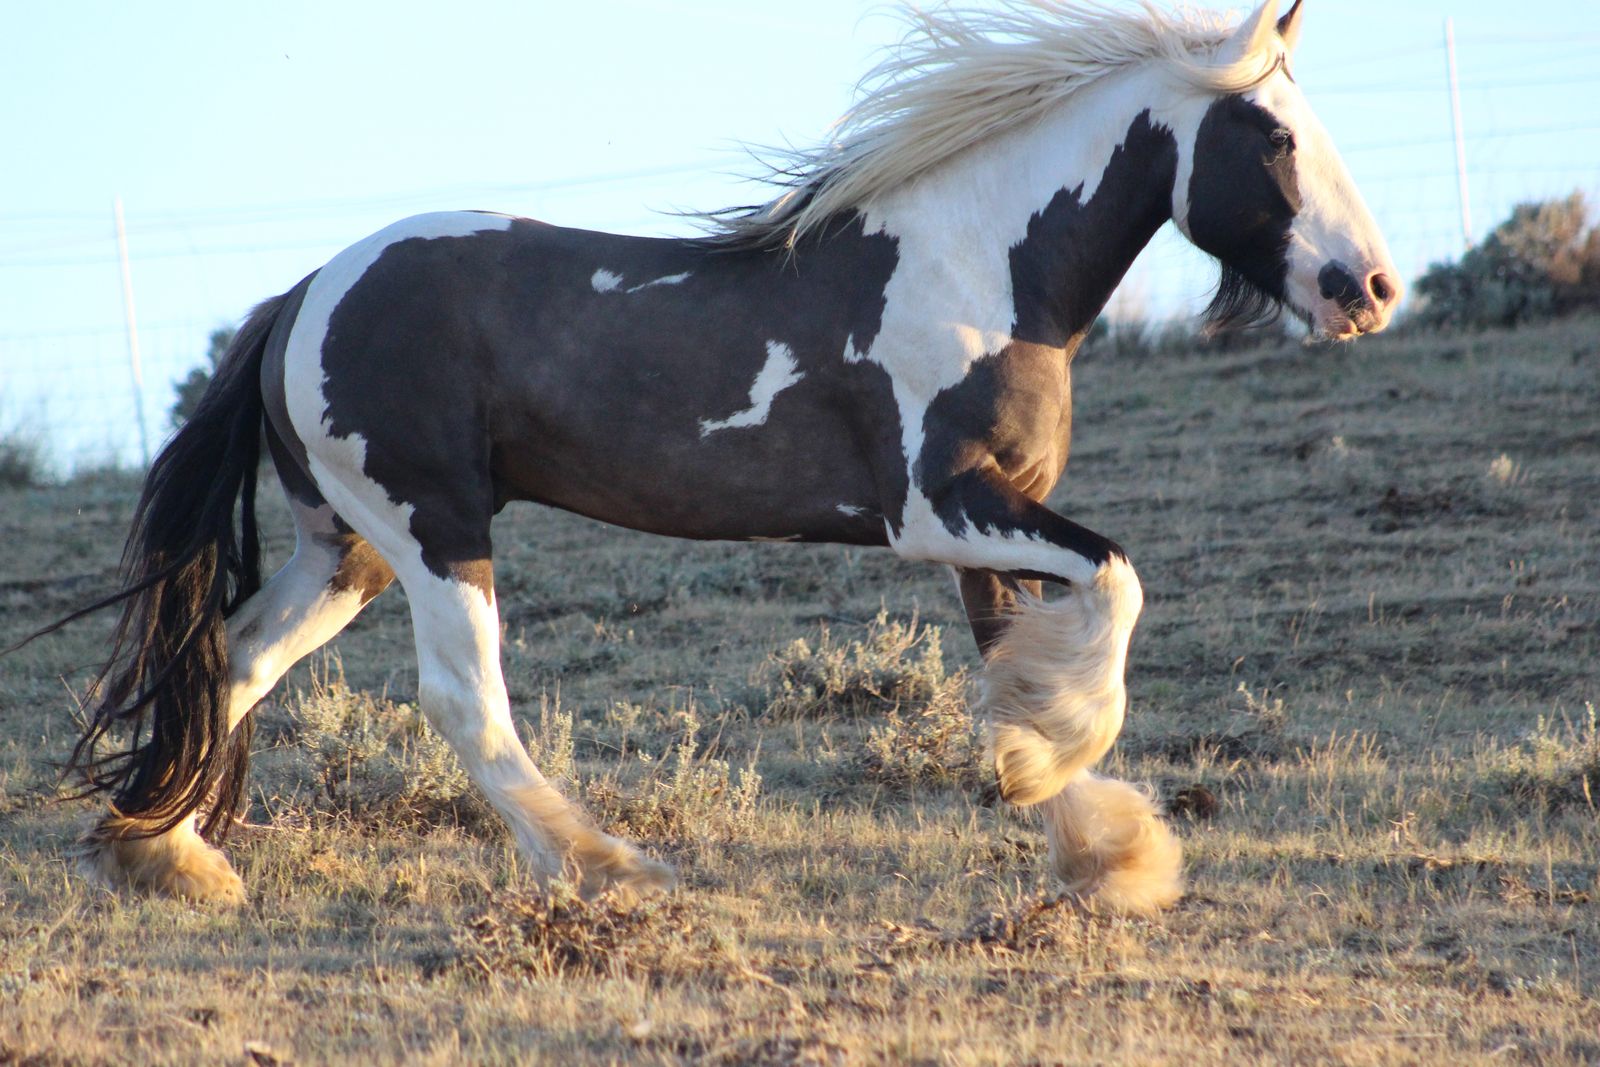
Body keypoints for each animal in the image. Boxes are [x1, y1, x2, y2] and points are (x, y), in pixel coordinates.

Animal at [40, 0, 1399, 915]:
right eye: (1271, 136)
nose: (1368, 289)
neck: (981, 267)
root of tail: (303, 292)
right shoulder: (940, 509)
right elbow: (1114, 590)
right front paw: (1068, 797)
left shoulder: (995, 516)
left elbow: (1023, 663)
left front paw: (1091, 840)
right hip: (433, 525)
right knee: (461, 699)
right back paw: (611, 864)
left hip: (346, 547)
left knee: (231, 658)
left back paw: (171, 856)